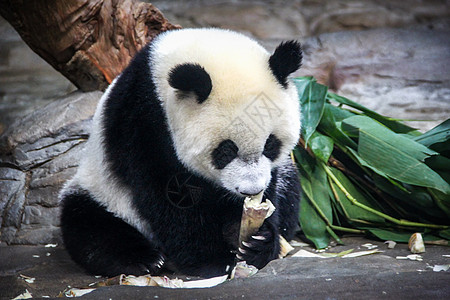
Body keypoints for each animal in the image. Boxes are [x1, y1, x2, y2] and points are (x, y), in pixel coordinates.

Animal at [58, 28, 300, 278]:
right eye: (225, 151)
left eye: (270, 145)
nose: (250, 190)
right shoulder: (142, 122)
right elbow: (169, 196)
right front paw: (213, 258)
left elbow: (269, 192)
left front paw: (254, 240)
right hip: (102, 191)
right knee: (89, 225)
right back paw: (144, 259)